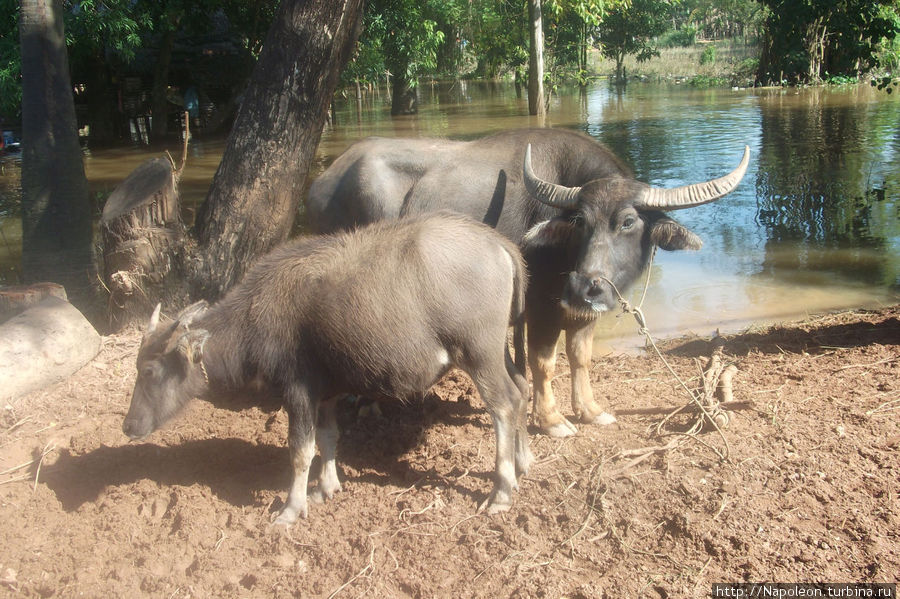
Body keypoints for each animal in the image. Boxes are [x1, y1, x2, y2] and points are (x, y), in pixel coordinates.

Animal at [126, 213, 536, 528]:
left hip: (478, 355)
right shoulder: (325, 394)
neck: (255, 317)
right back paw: (522, 462)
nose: (129, 426)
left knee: (503, 404)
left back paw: (501, 490)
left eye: (150, 371)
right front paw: (325, 488)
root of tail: (497, 244)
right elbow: (327, 438)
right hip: (498, 351)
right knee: (521, 387)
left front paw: (291, 509)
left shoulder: (297, 391)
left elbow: (300, 450)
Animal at [306, 127, 748, 436]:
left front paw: (590, 411)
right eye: (581, 221)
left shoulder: (581, 311)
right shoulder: (541, 308)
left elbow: (581, 357)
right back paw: (367, 404)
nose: (585, 285)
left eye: (627, 221)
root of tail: (323, 182)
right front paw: (551, 420)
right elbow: (544, 363)